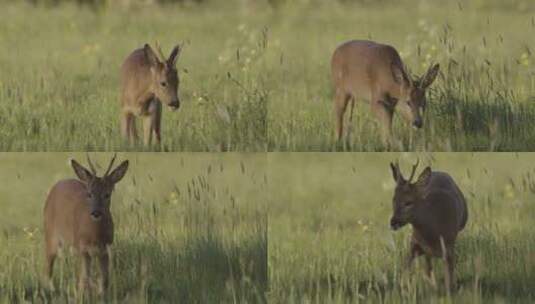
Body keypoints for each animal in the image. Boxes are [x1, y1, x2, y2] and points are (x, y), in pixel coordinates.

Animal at [44, 154, 130, 294]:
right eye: (89, 194)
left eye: (107, 194)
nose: (96, 212)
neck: (95, 235)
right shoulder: (83, 248)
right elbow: (84, 279)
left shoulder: (105, 249)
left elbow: (104, 280)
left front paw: (102, 295)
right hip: (50, 234)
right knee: (48, 265)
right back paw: (51, 290)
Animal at [390, 160, 468, 290]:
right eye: (394, 200)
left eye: (408, 202)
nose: (393, 222)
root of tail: (439, 171)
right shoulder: (415, 243)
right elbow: (406, 267)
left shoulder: (449, 247)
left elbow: (449, 278)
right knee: (428, 265)